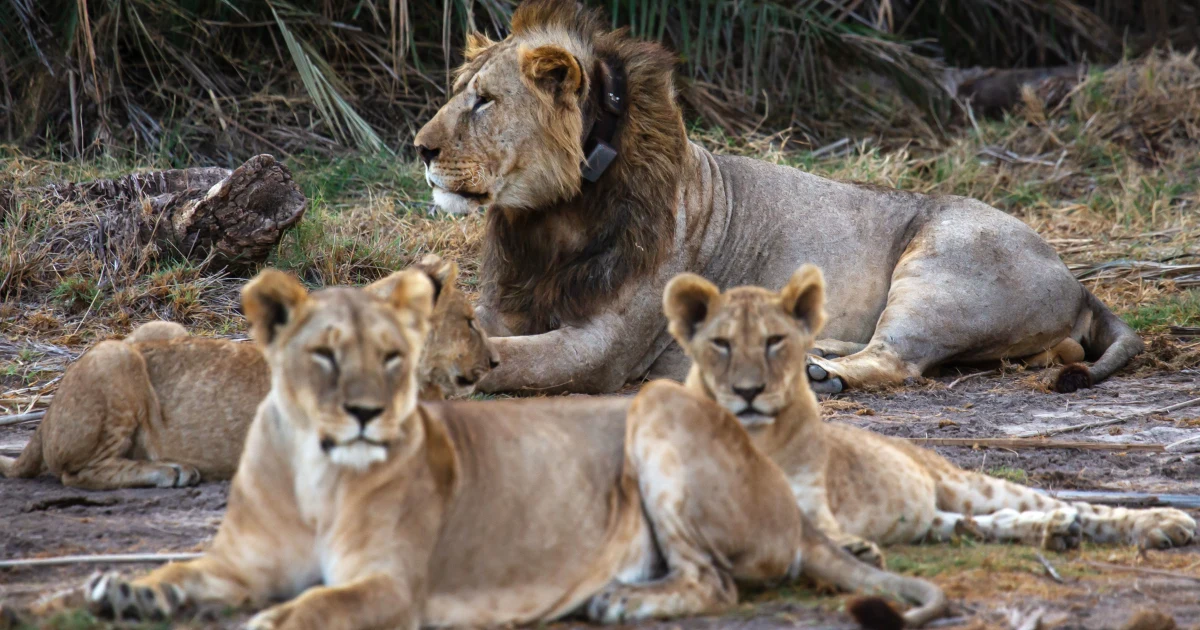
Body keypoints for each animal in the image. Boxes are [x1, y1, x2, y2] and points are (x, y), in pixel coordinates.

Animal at [0, 255, 497, 490]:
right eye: (471, 321)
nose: (495, 363)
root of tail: (43, 421)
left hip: (154, 330)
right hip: (114, 358)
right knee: (76, 471)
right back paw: (169, 471)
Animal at [77, 267, 946, 630]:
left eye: (390, 353)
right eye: (323, 356)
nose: (494, 363)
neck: (316, 474)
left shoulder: (392, 584)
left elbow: (311, 607)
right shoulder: (237, 562)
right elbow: (181, 572)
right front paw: (129, 589)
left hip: (661, 417)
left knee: (721, 578)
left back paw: (625, 600)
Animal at [413, 0, 1140, 396]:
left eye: (484, 101)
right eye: (457, 93)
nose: (419, 149)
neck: (550, 217)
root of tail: (1078, 280)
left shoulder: (603, 348)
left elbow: (512, 357)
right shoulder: (508, 299)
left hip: (939, 271)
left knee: (901, 358)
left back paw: (822, 375)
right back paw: (807, 352)